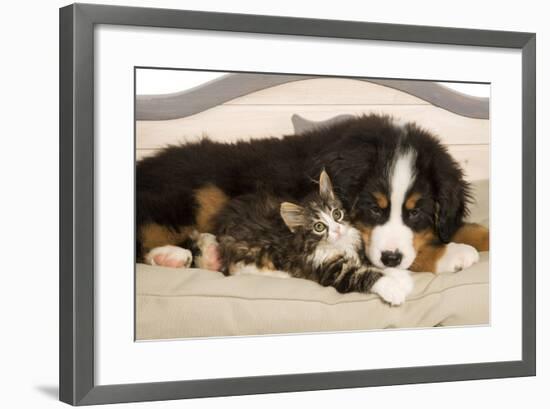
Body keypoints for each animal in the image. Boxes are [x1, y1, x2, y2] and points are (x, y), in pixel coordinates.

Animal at [216, 169, 414, 302]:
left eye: (336, 214)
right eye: (319, 227)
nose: (337, 230)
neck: (338, 245)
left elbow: (371, 265)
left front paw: (400, 276)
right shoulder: (331, 271)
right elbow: (364, 275)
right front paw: (393, 289)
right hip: (251, 249)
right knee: (238, 270)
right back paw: (283, 275)